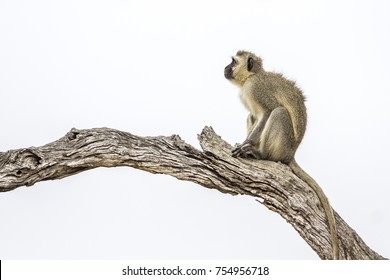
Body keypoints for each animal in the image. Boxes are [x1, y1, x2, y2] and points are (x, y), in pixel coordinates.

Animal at [224, 50, 340, 260]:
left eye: (233, 62)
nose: (225, 68)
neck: (252, 76)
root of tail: (290, 154)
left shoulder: (256, 89)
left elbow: (268, 111)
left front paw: (246, 146)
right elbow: (255, 116)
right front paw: (243, 144)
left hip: (284, 144)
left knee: (279, 112)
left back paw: (260, 154)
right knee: (252, 116)